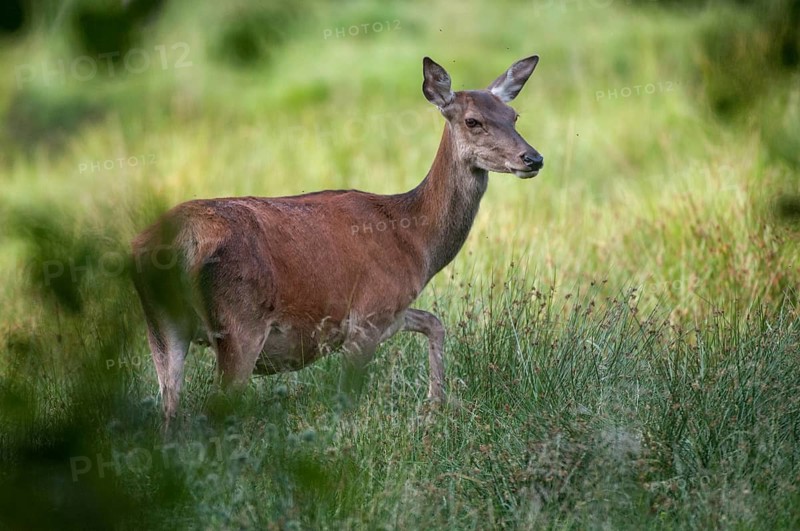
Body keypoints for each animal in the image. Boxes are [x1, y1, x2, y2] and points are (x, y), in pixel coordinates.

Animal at [131, 55, 544, 425]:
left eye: (514, 116)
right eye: (473, 121)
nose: (533, 158)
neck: (414, 240)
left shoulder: (390, 311)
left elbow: (434, 321)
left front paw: (436, 402)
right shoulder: (369, 313)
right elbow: (347, 402)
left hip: (161, 323)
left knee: (170, 408)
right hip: (240, 322)